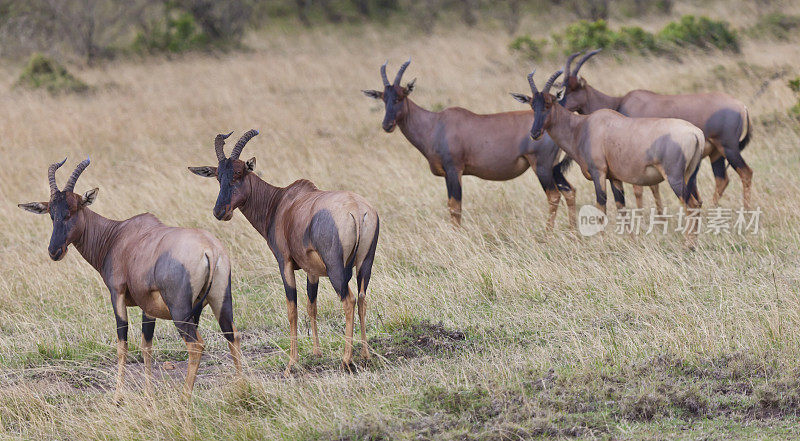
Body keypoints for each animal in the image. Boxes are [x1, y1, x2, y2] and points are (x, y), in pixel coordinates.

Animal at [18, 156, 241, 398]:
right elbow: (146, 345)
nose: (54, 251)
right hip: (220, 299)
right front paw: (148, 394)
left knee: (196, 346)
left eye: (73, 210)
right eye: (52, 213)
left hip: (180, 309)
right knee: (232, 335)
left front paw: (117, 398)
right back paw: (242, 385)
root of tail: (210, 249)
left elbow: (122, 344)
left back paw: (184, 399)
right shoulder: (148, 306)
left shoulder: (117, 294)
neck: (117, 235)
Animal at [189, 130, 380, 372]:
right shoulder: (311, 270)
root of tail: (357, 209)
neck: (280, 202)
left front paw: (291, 363)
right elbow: (311, 305)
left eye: (239, 173)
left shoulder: (285, 263)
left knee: (349, 301)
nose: (220, 212)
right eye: (217, 176)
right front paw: (317, 352)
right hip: (366, 263)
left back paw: (347, 359)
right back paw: (365, 355)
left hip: (336, 269)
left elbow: (292, 309)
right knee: (363, 298)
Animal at [360, 59, 576, 229]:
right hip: (553, 167)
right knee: (569, 191)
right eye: (383, 98)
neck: (436, 124)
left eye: (400, 96)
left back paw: (547, 235)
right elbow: (451, 205)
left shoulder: (454, 170)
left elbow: (456, 207)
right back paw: (573, 233)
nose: (387, 125)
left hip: (542, 167)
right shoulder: (448, 174)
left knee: (554, 196)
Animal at [516, 70, 704, 246]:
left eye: (549, 103)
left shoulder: (598, 172)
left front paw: (601, 242)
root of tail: (695, 133)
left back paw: (688, 245)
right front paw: (631, 240)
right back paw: (693, 242)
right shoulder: (614, 177)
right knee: (697, 203)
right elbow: (621, 207)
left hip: (675, 178)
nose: (535, 134)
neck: (584, 127)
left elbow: (601, 206)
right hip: (689, 176)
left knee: (690, 204)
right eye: (532, 105)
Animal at [560, 47, 752, 209]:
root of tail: (741, 106)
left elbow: (639, 190)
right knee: (722, 180)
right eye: (563, 87)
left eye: (574, 87)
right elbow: (653, 188)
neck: (620, 103)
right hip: (716, 153)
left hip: (728, 147)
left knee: (746, 173)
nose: (560, 104)